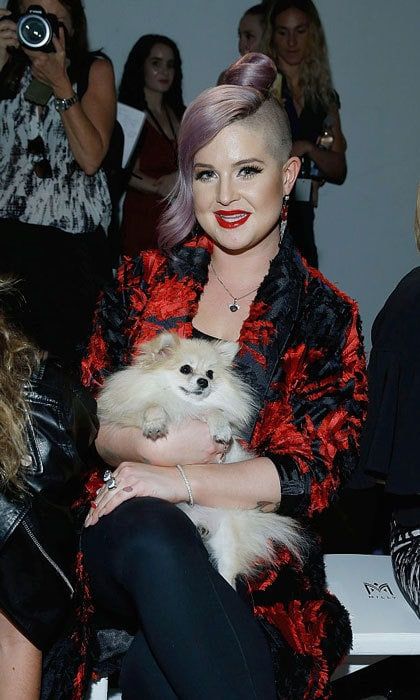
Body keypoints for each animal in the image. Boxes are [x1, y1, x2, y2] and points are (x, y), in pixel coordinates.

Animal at [99, 330, 308, 588]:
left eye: (210, 373)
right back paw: (200, 529)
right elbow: (153, 406)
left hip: (228, 535)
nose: (204, 382)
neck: (184, 404)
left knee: (227, 572)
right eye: (185, 369)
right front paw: (156, 423)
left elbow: (215, 411)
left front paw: (221, 430)